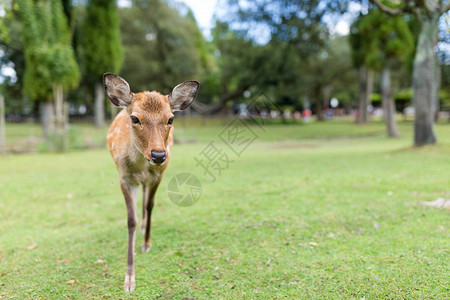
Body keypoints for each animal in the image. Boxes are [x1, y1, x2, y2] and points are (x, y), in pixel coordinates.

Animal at [103, 71, 199, 292]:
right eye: (134, 118)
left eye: (170, 118)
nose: (158, 155)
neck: (140, 167)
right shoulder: (124, 177)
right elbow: (130, 220)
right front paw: (129, 279)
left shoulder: (158, 175)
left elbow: (150, 205)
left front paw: (146, 243)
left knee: (146, 200)